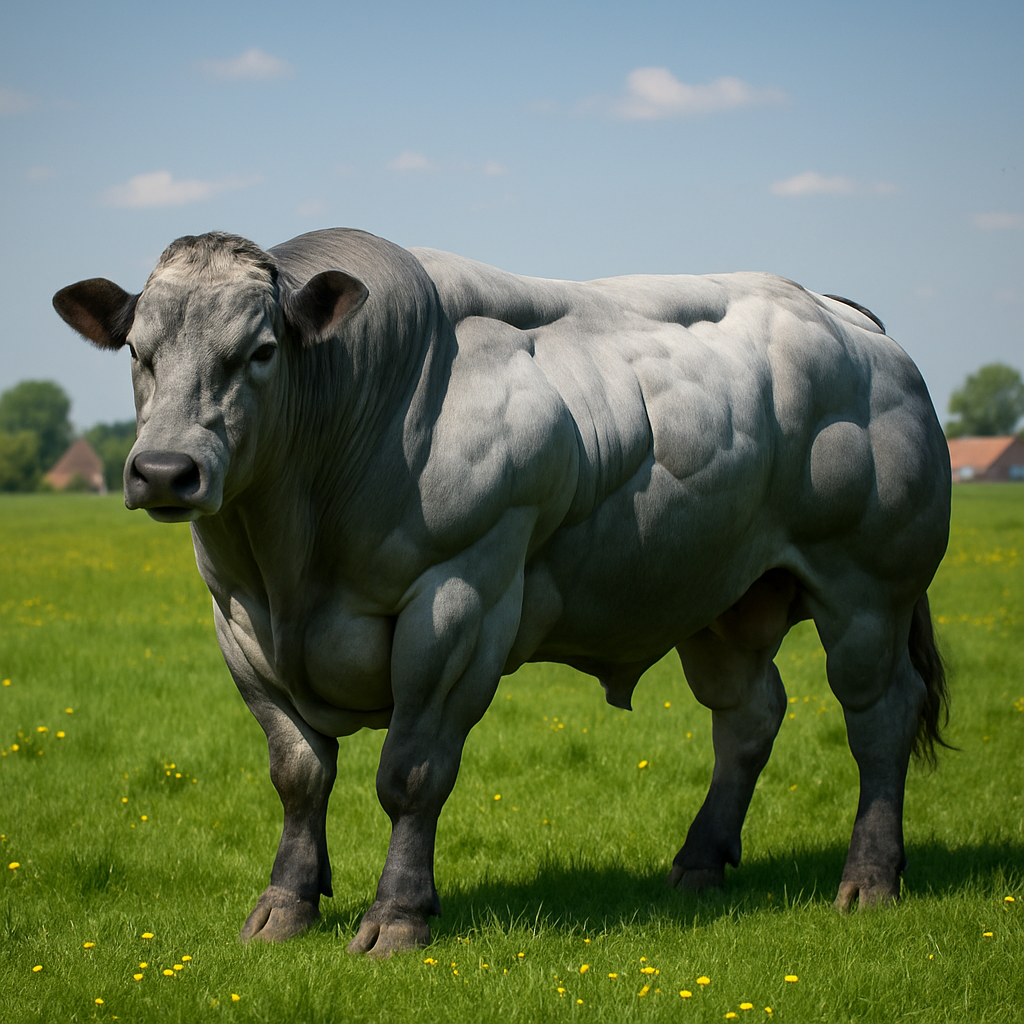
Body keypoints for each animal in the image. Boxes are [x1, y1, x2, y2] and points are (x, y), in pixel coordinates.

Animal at [53, 228, 951, 957]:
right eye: (136, 350)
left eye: (262, 350)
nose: (164, 470)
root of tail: (849, 319)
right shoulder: (240, 622)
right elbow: (298, 772)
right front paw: (284, 908)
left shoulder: (460, 599)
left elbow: (411, 772)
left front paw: (398, 917)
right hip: (727, 596)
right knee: (750, 716)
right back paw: (698, 864)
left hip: (869, 589)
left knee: (879, 718)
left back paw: (870, 879)